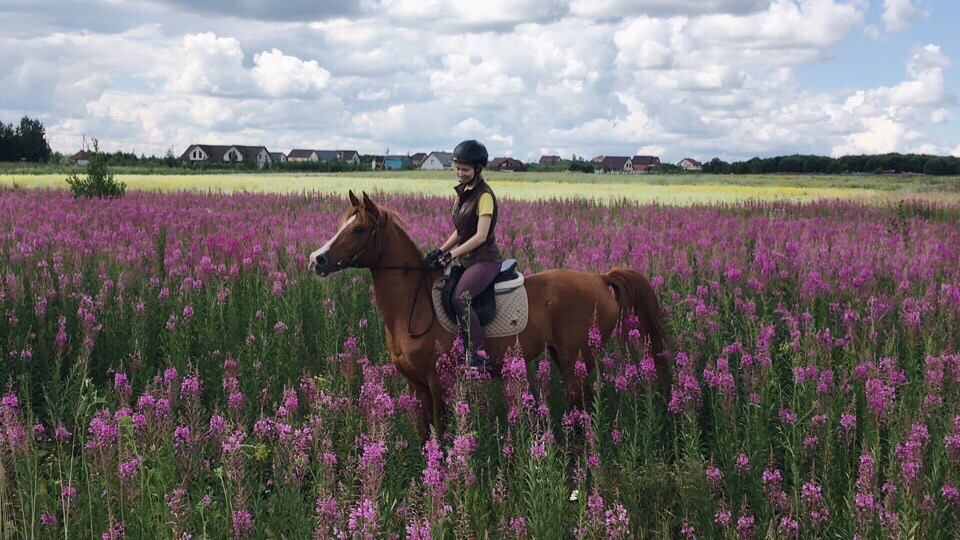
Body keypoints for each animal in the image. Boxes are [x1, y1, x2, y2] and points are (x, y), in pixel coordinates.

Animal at [308, 191, 669, 439]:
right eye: (341, 225)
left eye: (358, 229)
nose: (316, 259)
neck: (413, 302)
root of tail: (600, 278)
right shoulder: (416, 384)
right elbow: (425, 434)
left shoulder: (439, 381)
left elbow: (441, 431)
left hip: (575, 362)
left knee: (583, 413)